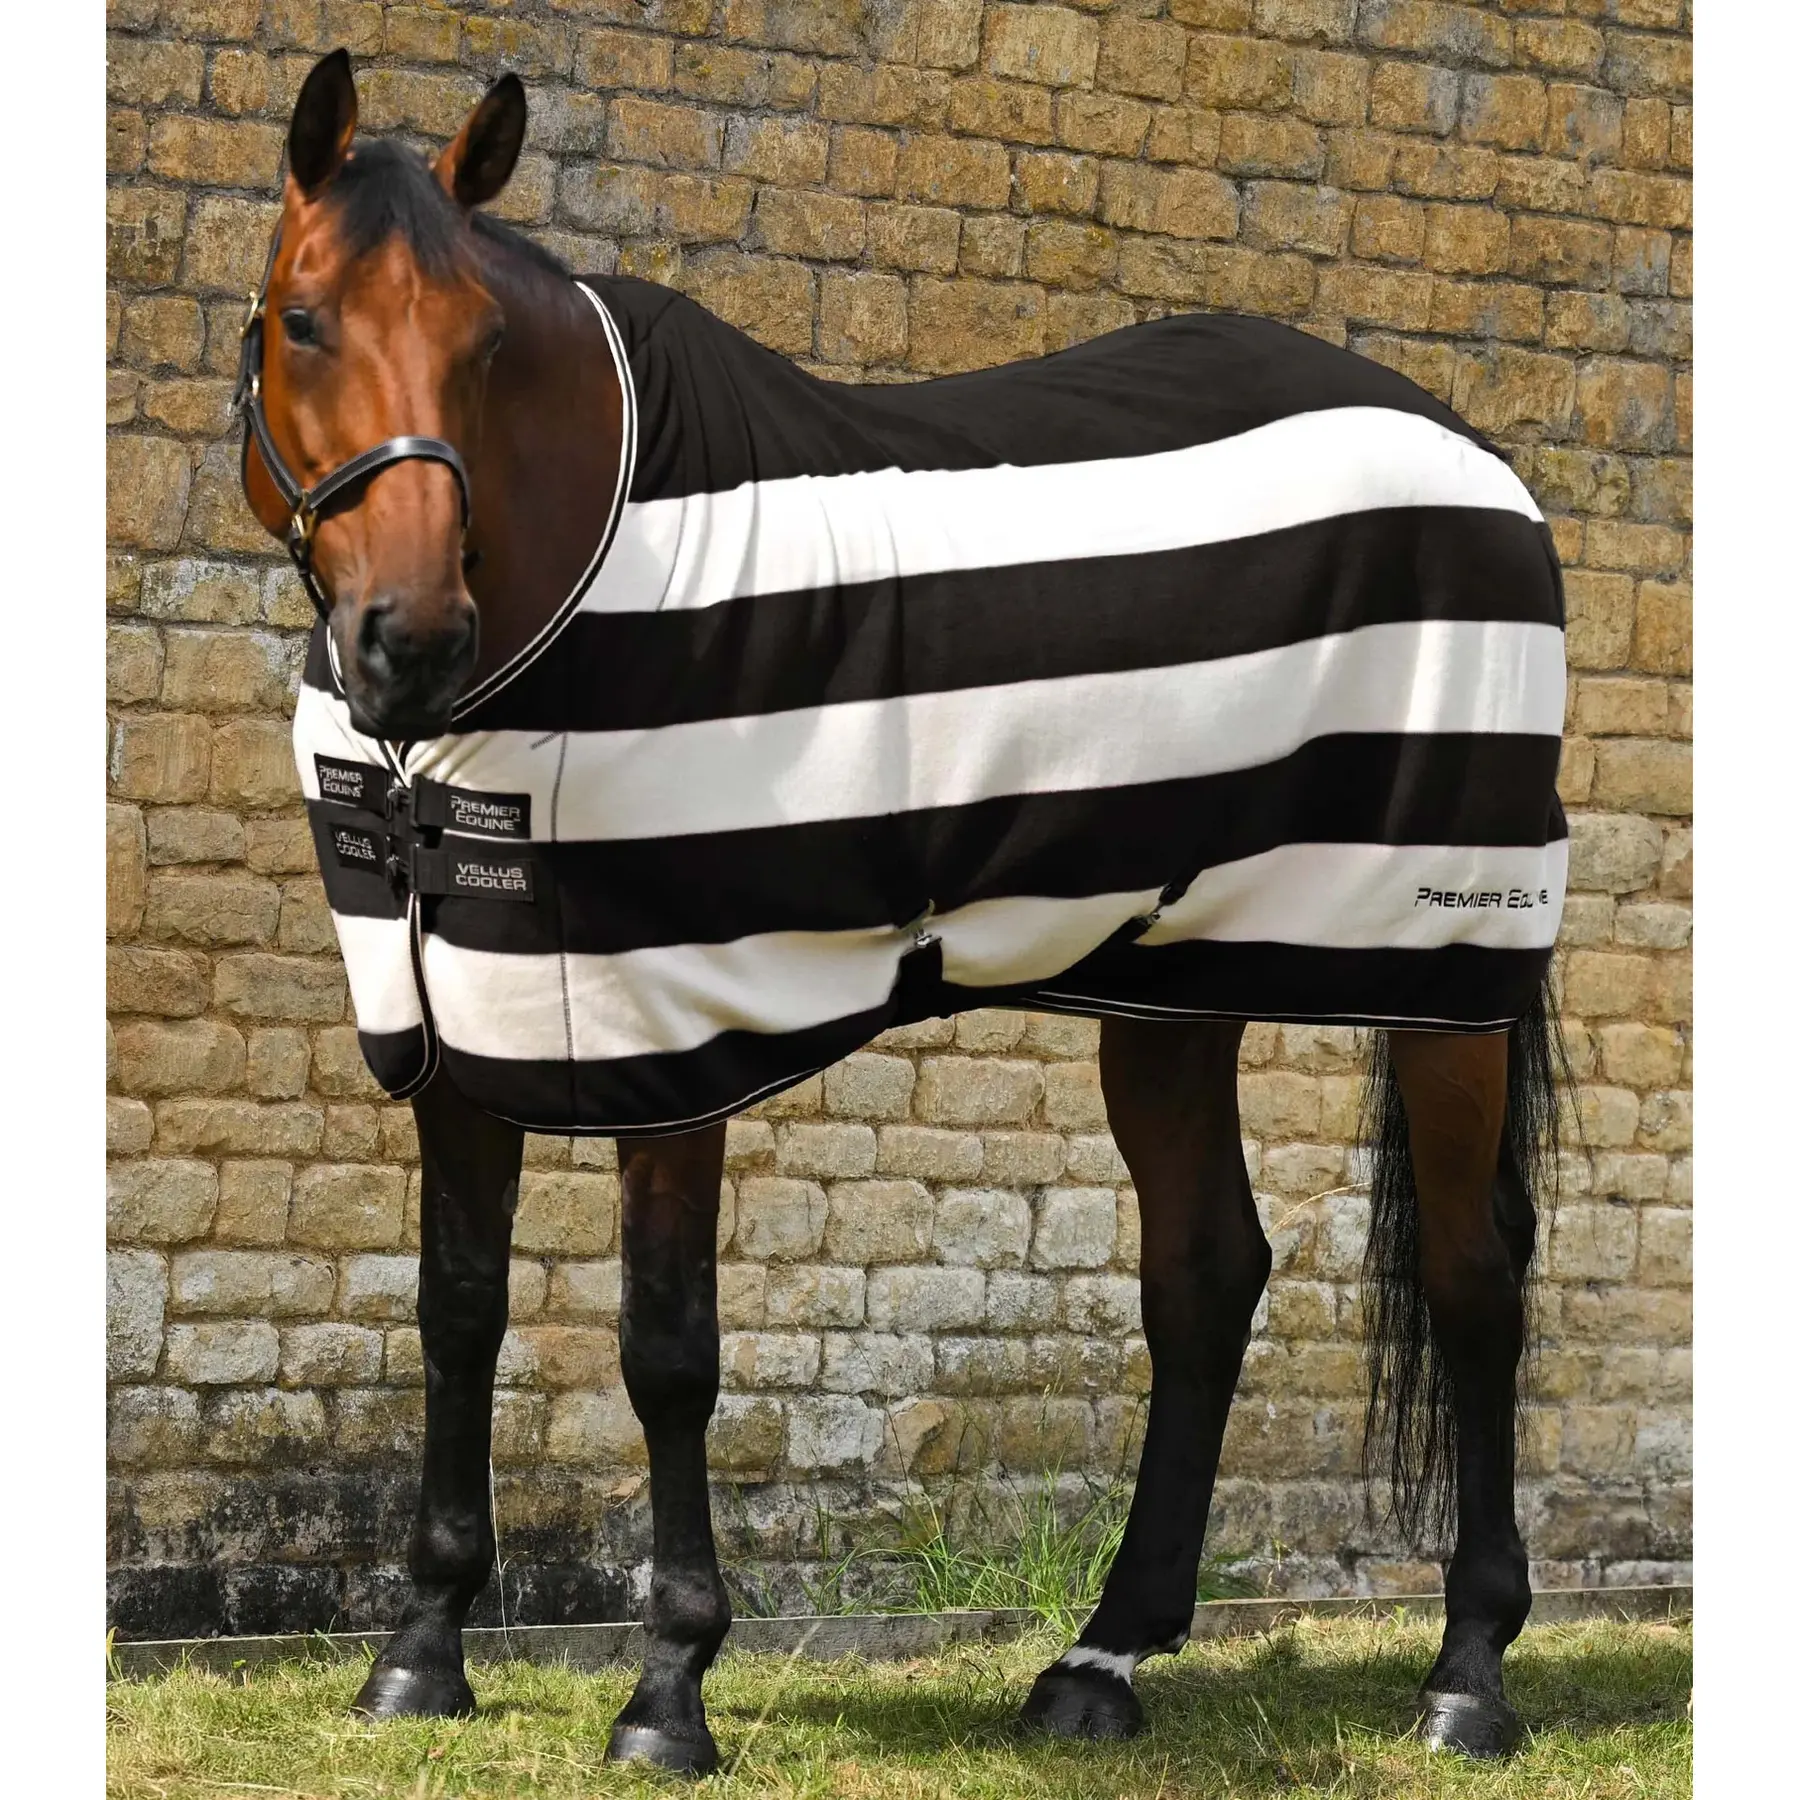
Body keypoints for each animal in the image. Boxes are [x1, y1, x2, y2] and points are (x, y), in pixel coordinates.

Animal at [237, 51, 1570, 1774]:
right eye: (303, 321)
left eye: (486, 345)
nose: (409, 641)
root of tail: (1478, 456)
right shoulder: (455, 1020)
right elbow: (456, 1310)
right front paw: (419, 1652)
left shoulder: (676, 1027)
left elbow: (666, 1350)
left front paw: (668, 1689)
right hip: (1175, 973)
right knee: (1207, 1272)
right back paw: (1102, 1660)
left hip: (1443, 965)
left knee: (1474, 1277)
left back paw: (1468, 1674)